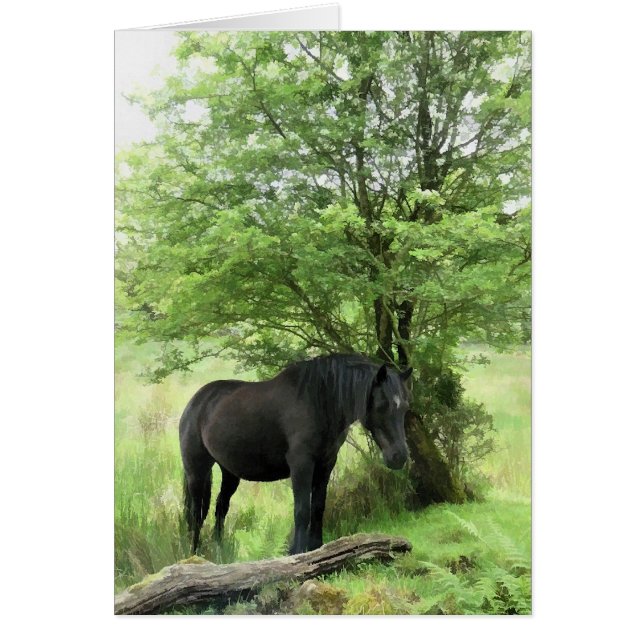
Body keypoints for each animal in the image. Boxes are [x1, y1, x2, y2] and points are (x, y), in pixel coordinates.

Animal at [179, 353, 413, 555]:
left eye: (405, 407)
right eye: (382, 405)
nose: (399, 457)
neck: (319, 402)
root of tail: (195, 402)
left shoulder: (326, 464)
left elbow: (318, 507)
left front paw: (316, 547)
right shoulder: (301, 464)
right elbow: (302, 510)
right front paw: (297, 552)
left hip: (229, 472)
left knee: (220, 508)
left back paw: (220, 552)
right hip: (196, 471)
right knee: (195, 515)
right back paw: (194, 555)